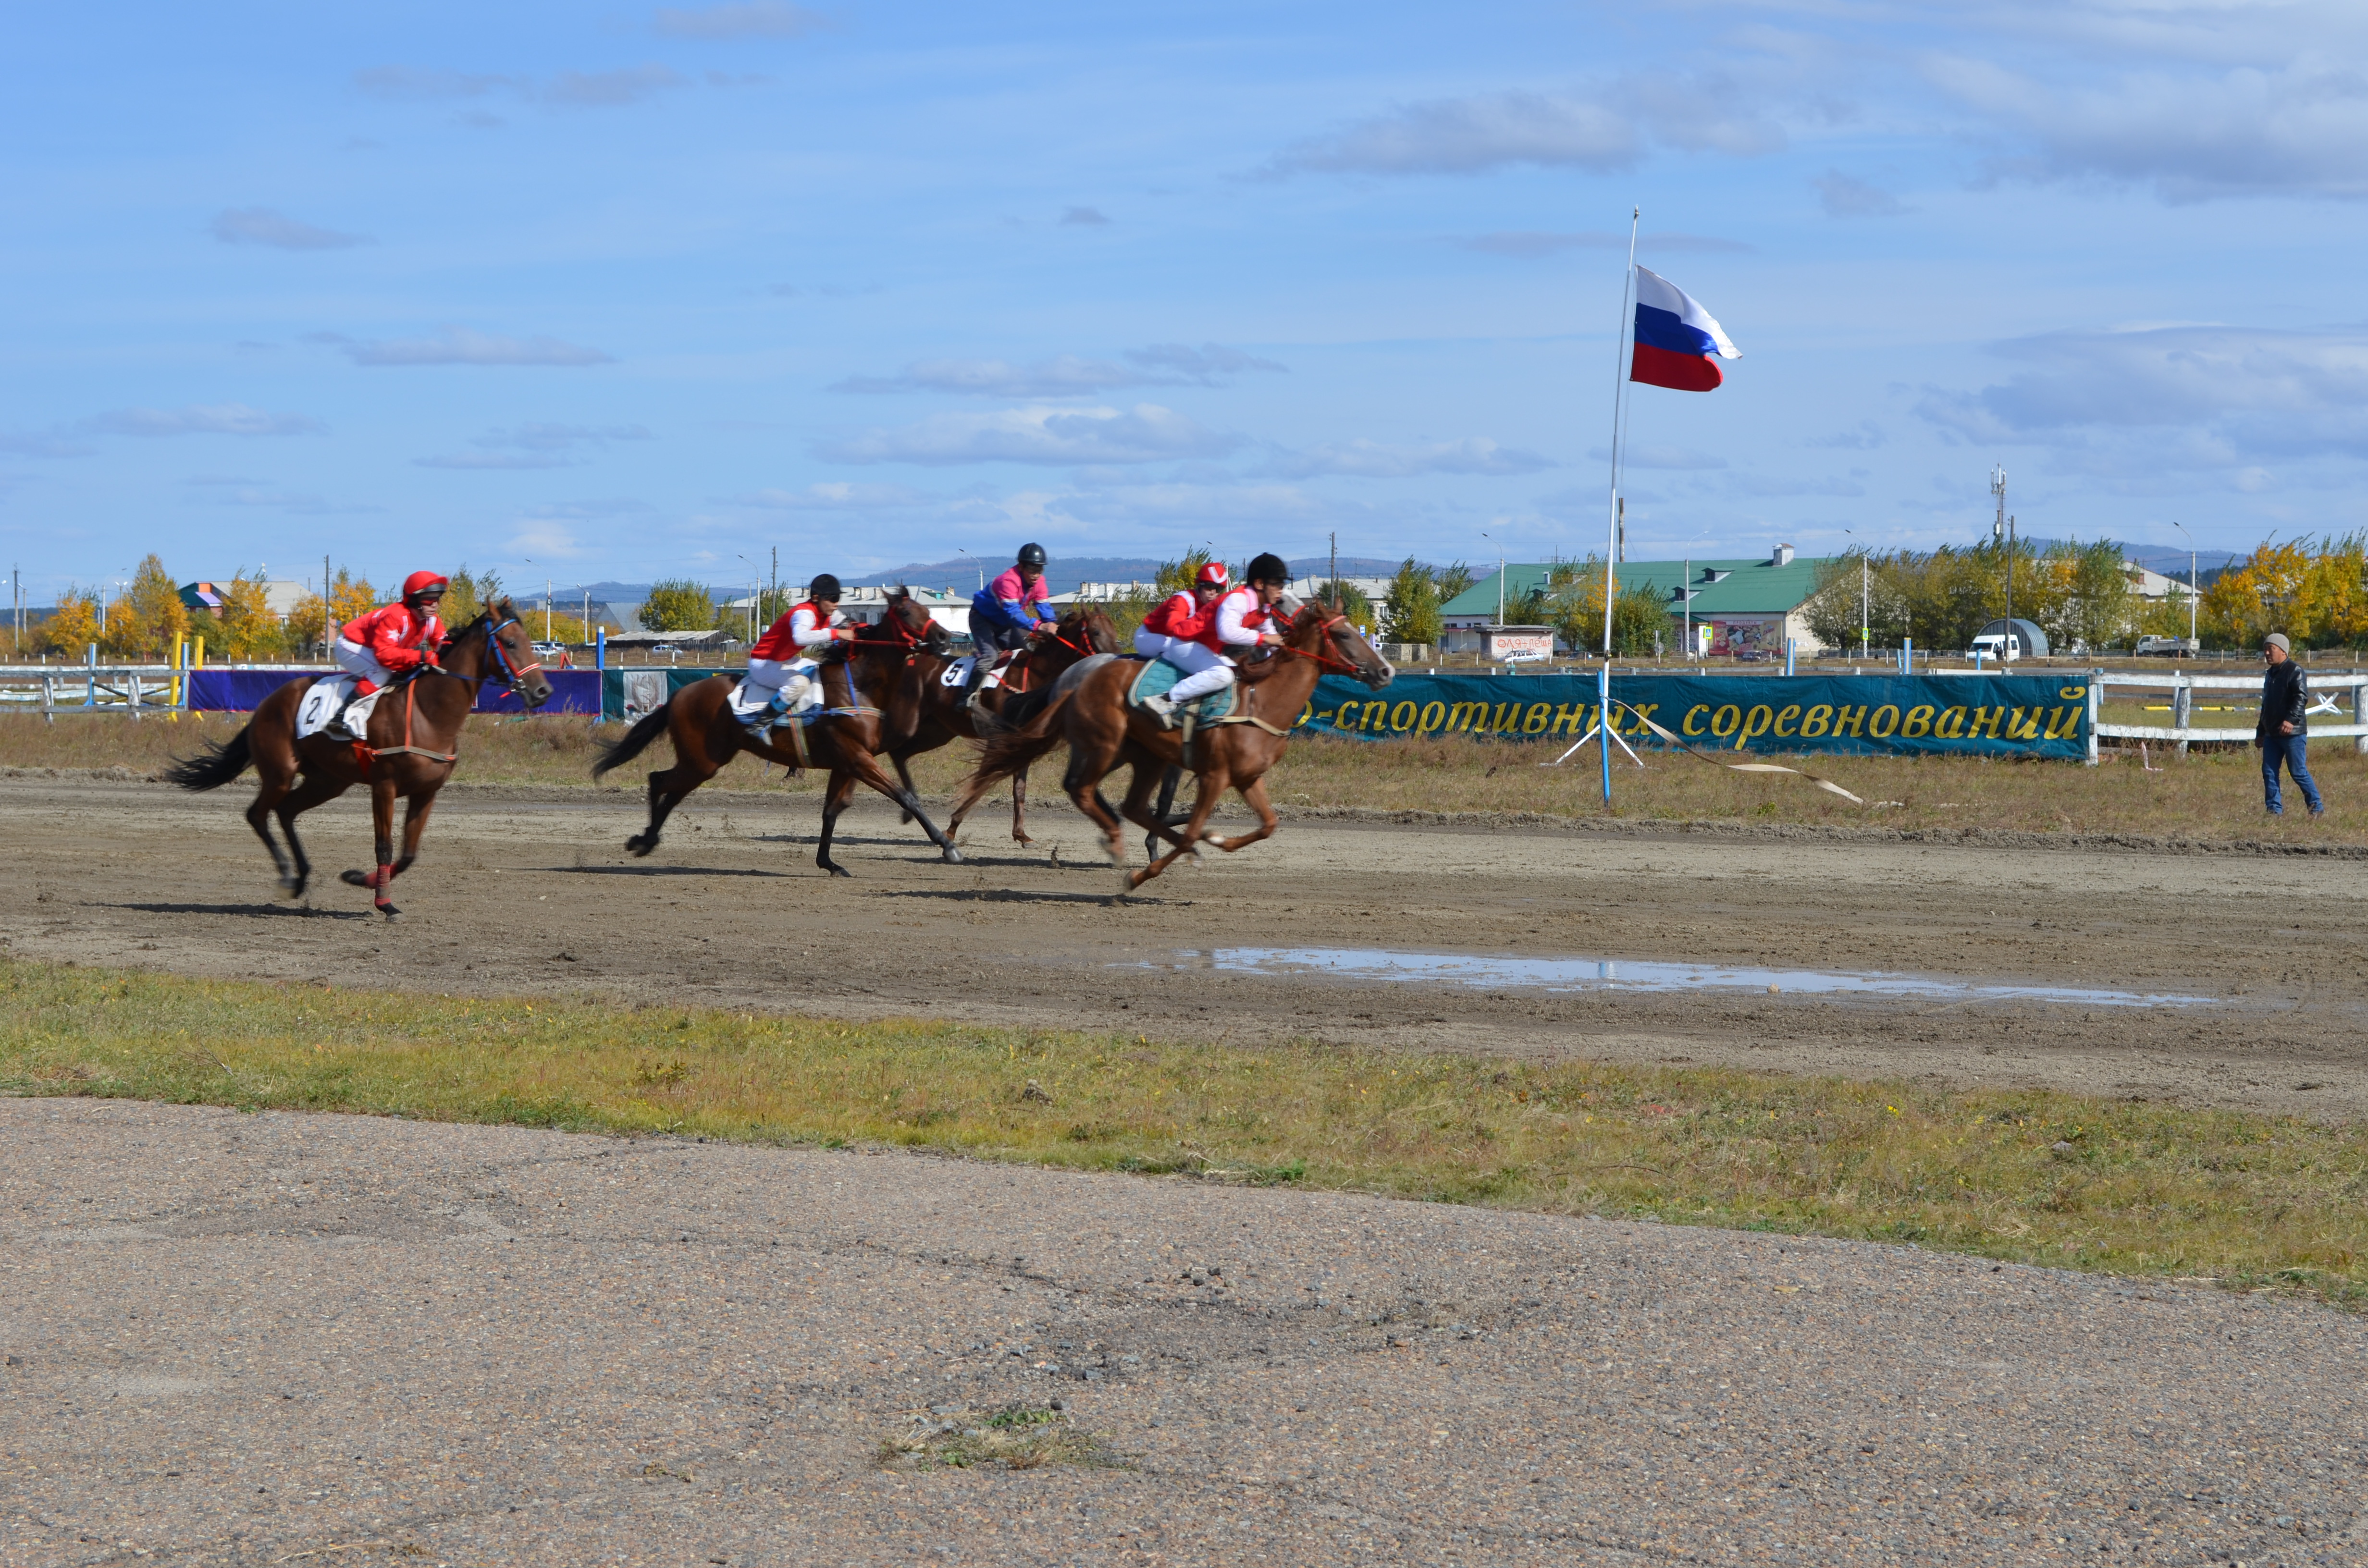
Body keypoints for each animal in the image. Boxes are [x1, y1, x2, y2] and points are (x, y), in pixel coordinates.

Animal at [162, 601, 559, 923]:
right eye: (510, 643)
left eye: (529, 641)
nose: (543, 692)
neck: (428, 713)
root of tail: (265, 704)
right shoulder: (384, 787)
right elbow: (385, 846)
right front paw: (385, 904)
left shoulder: (427, 792)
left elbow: (409, 853)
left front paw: (358, 878)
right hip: (280, 772)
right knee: (258, 814)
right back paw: (287, 877)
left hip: (328, 781)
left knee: (286, 811)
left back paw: (303, 877)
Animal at [596, 592, 966, 886]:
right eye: (906, 612)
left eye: (925, 609)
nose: (945, 637)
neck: (858, 685)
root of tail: (679, 694)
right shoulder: (858, 759)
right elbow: (906, 797)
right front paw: (948, 846)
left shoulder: (847, 764)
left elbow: (833, 811)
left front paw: (829, 863)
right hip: (702, 759)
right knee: (659, 781)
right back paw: (644, 840)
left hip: (703, 761)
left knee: (670, 790)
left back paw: (646, 840)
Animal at [942, 599, 1382, 895]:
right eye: (1344, 634)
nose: (1384, 671)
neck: (1261, 700)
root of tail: (1078, 681)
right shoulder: (1214, 775)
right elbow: (1188, 828)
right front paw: (1149, 868)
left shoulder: (1245, 776)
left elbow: (1268, 825)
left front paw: (1215, 841)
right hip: (1105, 744)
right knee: (1080, 789)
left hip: (1138, 755)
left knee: (1122, 802)